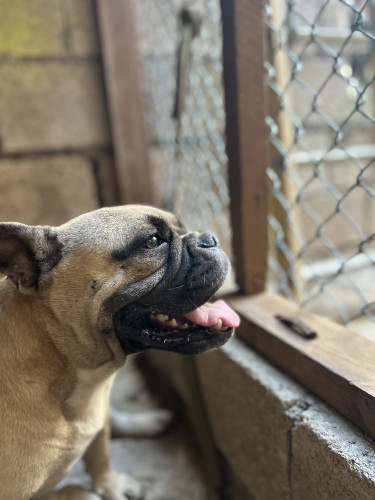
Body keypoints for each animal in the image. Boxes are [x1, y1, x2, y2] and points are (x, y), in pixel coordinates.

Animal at [0, 205, 241, 498]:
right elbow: (77, 488)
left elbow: (101, 453)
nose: (209, 237)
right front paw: (101, 490)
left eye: (181, 227)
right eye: (152, 242)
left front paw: (113, 484)